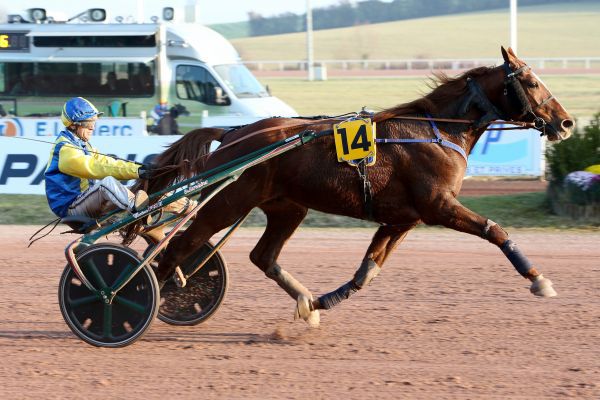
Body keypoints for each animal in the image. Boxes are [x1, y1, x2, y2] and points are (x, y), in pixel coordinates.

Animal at [137, 47, 572, 326]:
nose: (565, 123)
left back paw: (303, 300)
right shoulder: (438, 206)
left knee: (262, 256)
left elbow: (368, 270)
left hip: (286, 206)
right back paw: (151, 296)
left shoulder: (402, 219)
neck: (435, 132)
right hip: (229, 200)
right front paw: (539, 280)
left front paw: (322, 301)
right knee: (177, 248)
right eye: (531, 82)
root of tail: (233, 133)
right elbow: (494, 230)